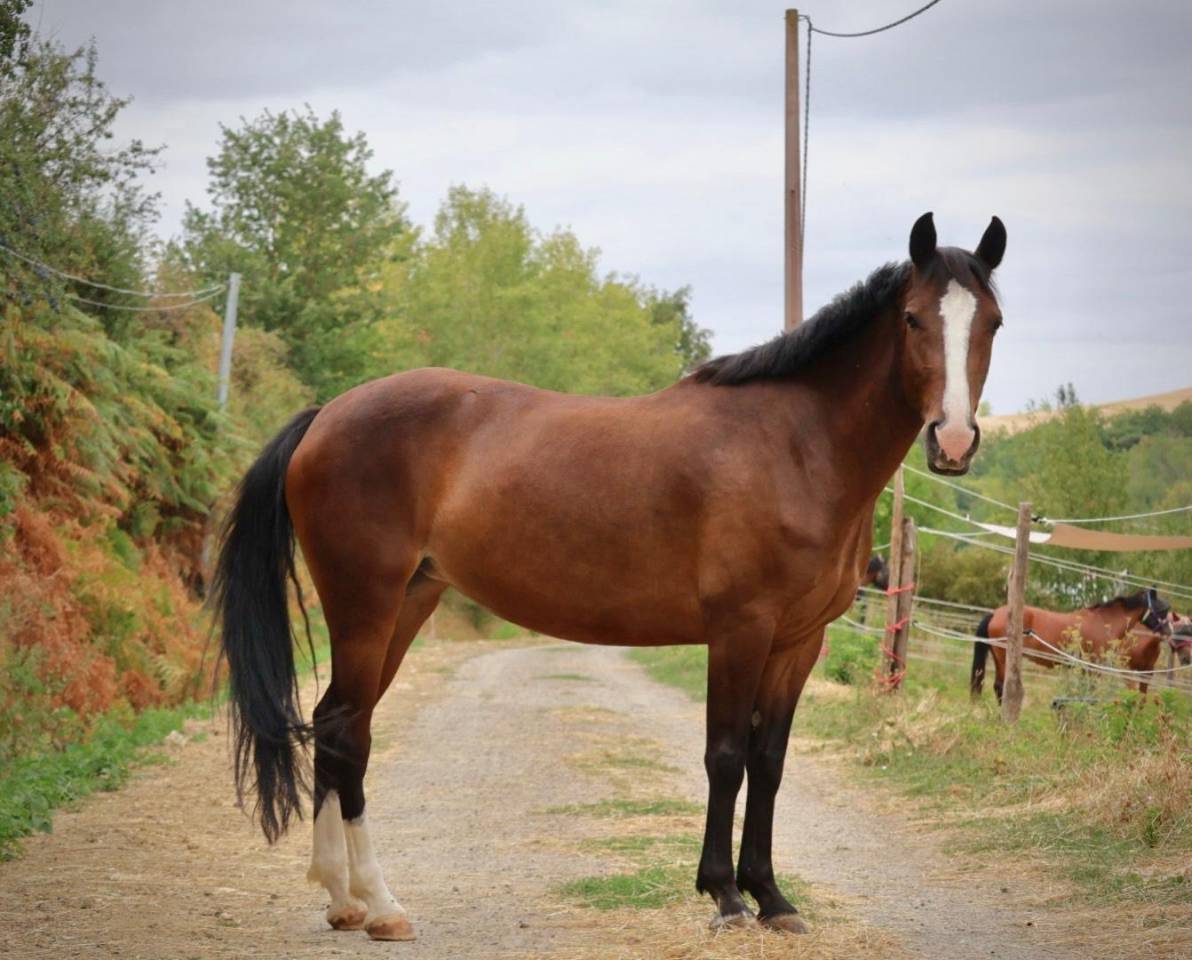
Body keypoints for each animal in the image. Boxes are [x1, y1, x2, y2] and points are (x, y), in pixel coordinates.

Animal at [214, 212, 1007, 940]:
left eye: (993, 323)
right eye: (912, 318)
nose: (953, 442)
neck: (794, 447)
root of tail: (327, 415)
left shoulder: (797, 641)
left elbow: (770, 762)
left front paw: (773, 897)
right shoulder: (740, 630)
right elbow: (726, 756)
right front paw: (724, 894)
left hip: (407, 603)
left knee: (335, 723)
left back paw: (342, 900)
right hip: (366, 603)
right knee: (347, 735)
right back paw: (381, 905)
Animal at [969, 588, 1180, 700]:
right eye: (1163, 610)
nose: (1169, 631)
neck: (1104, 622)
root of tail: (995, 613)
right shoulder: (1093, 667)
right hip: (1004, 658)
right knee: (1000, 687)